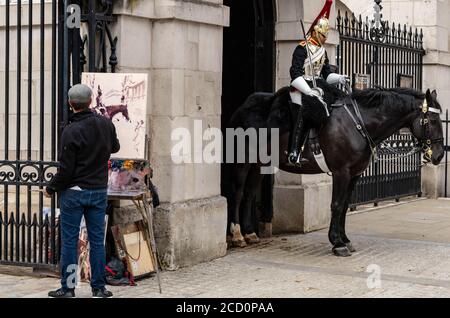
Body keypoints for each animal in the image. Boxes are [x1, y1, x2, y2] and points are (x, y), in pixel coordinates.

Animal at [225, 80, 446, 258]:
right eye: (433, 120)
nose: (439, 155)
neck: (358, 123)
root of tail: (243, 107)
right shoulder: (341, 172)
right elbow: (337, 205)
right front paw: (337, 243)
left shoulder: (354, 175)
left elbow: (345, 206)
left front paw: (344, 239)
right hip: (243, 161)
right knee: (237, 193)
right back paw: (236, 235)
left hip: (260, 164)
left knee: (249, 194)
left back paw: (249, 233)